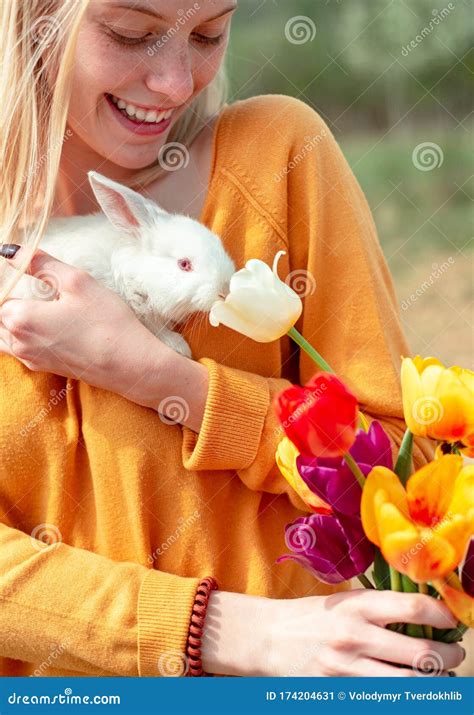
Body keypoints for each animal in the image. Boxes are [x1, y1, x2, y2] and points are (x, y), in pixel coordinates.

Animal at [10, 173, 234, 358]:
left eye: (218, 243)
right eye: (184, 264)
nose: (224, 290)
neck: (137, 273)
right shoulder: (143, 312)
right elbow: (156, 328)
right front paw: (180, 347)